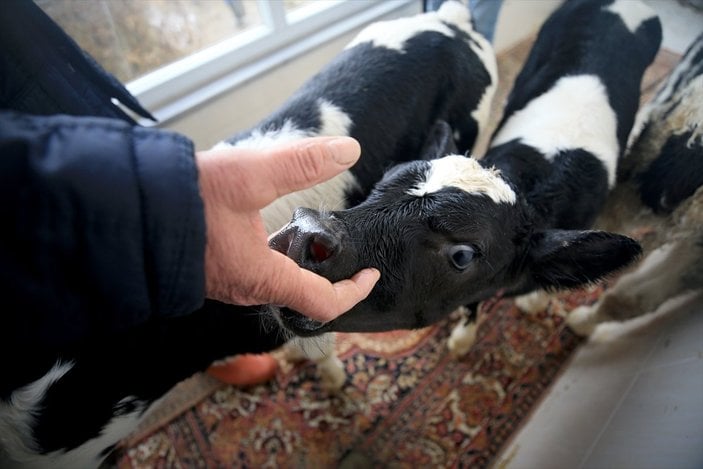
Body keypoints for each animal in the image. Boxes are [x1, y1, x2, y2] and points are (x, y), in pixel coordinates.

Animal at [270, 0, 660, 346]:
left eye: (462, 256)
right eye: (386, 176)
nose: (303, 233)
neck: (541, 176)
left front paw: (532, 302)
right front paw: (464, 336)